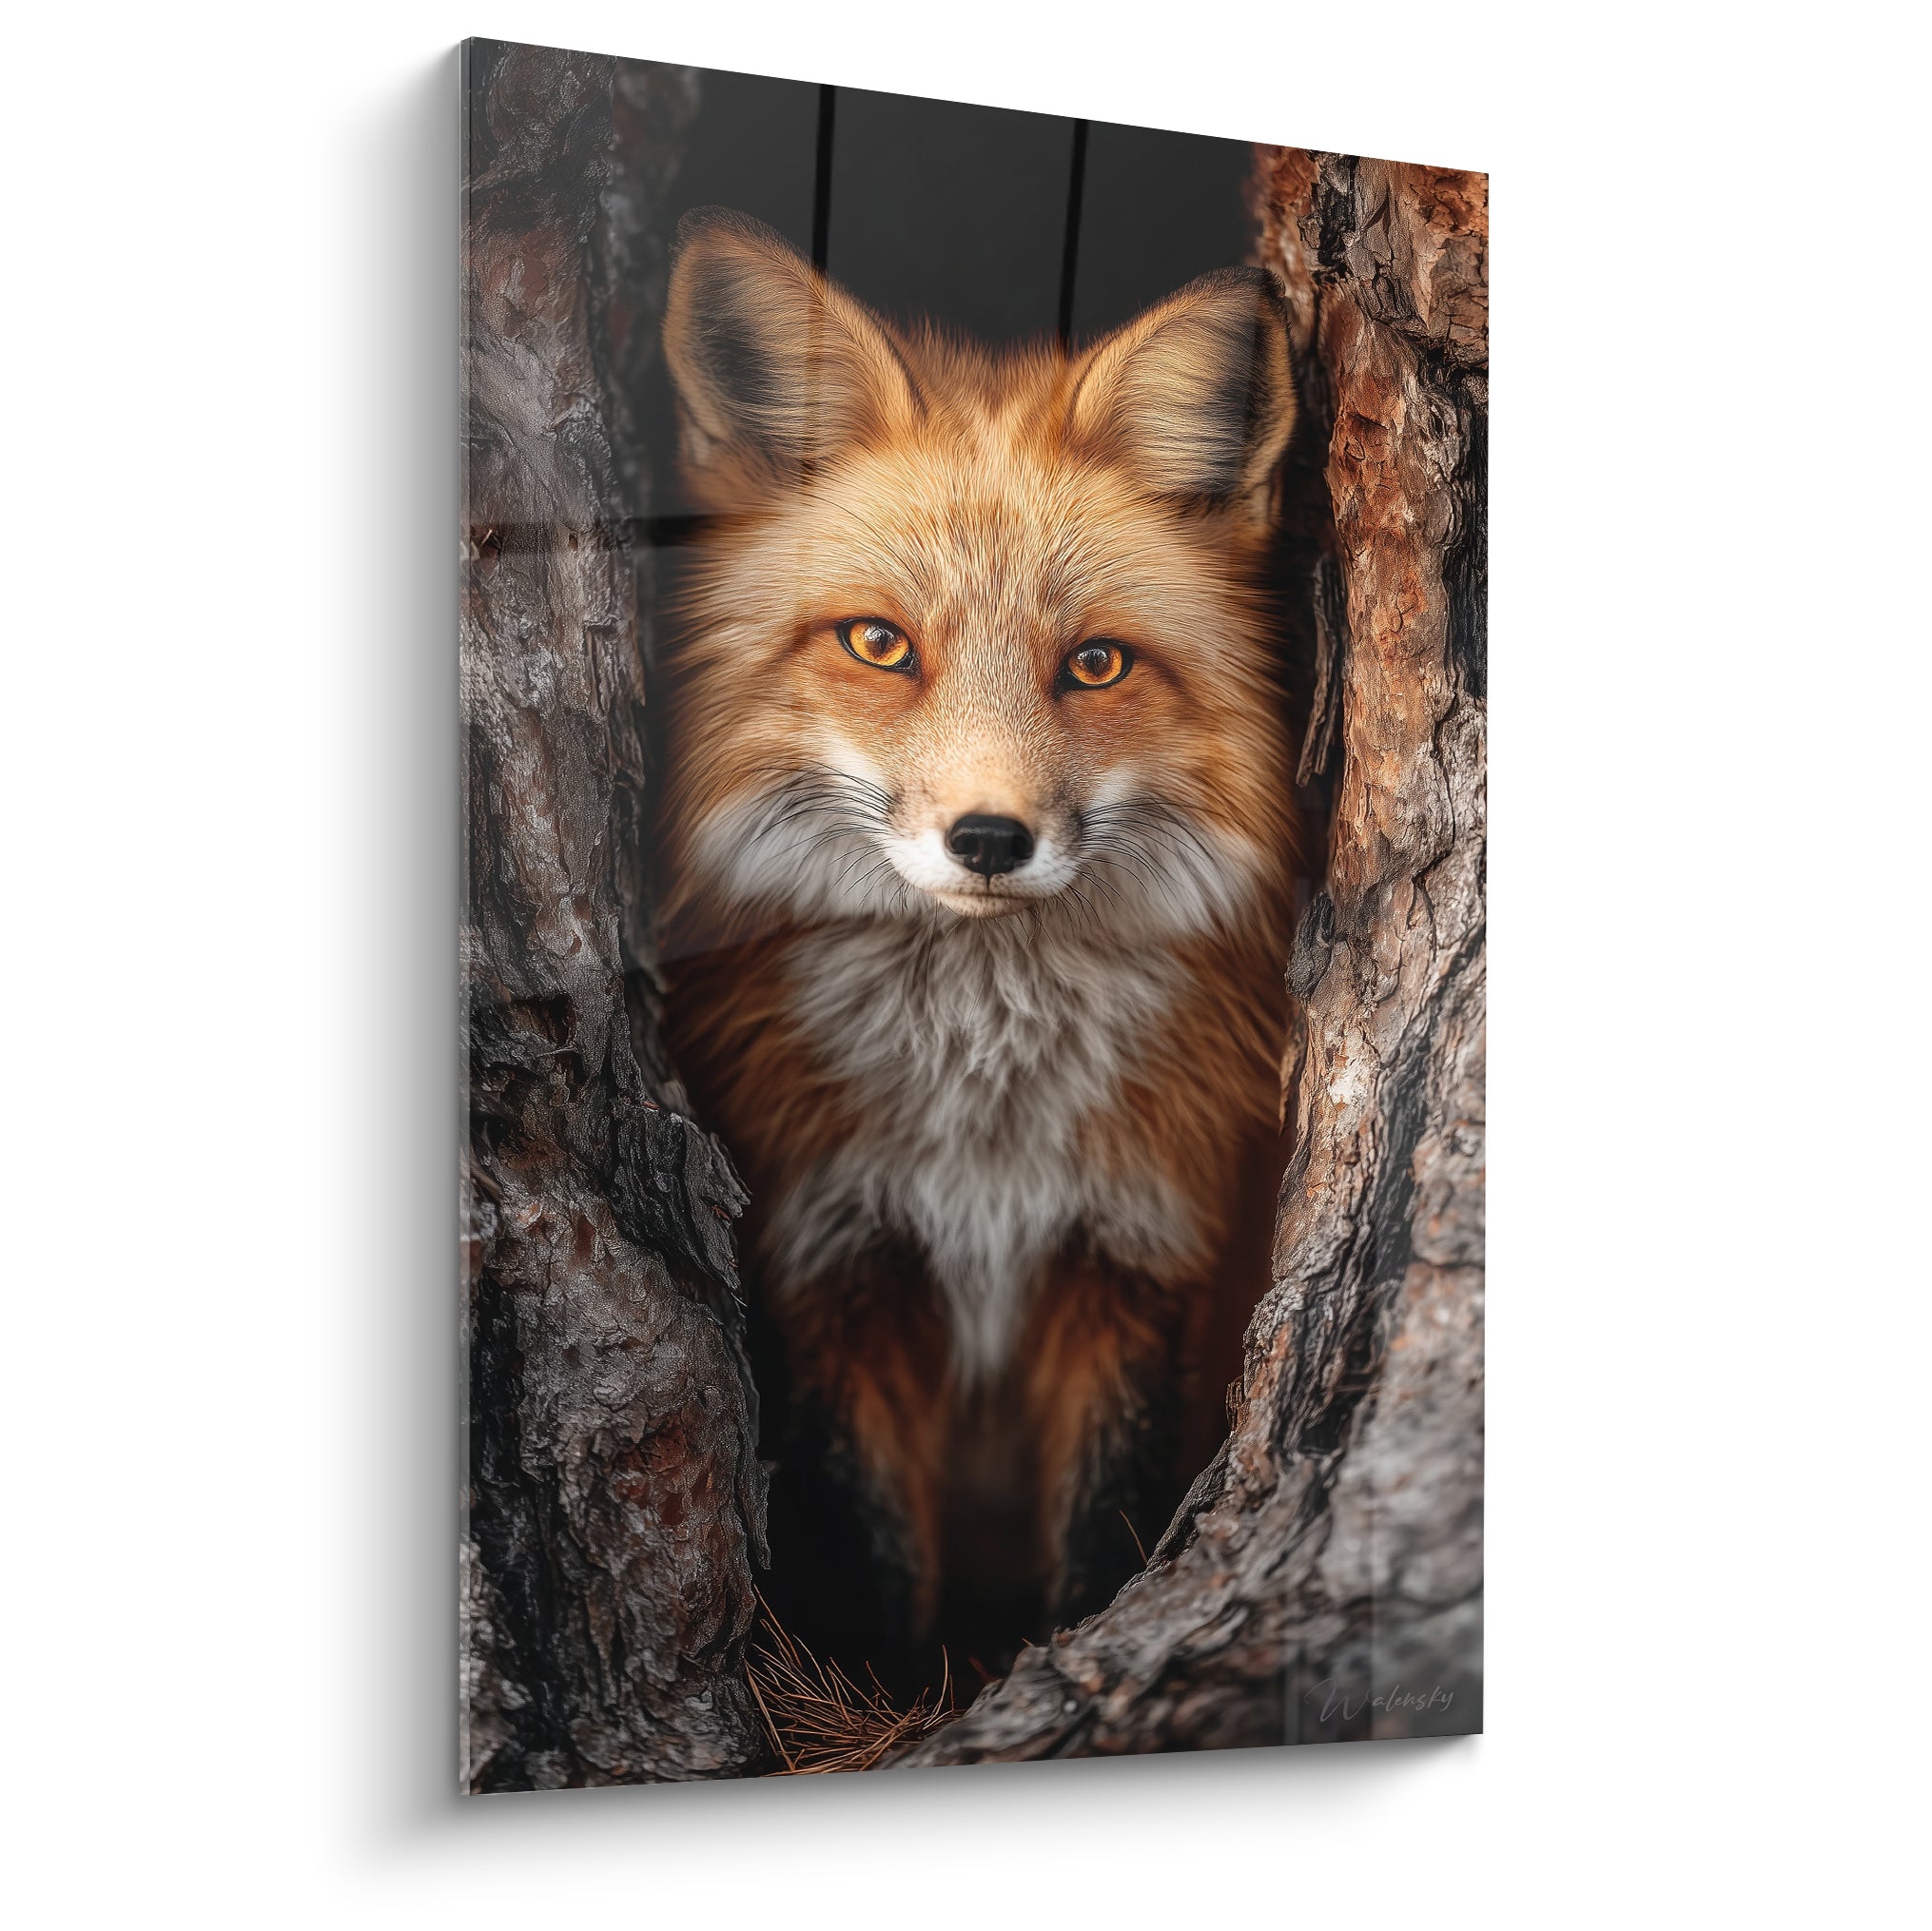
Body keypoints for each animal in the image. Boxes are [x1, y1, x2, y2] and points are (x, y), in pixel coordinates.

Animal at [655, 207, 1302, 1677]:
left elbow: (1106, 1522)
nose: (991, 839)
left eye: (1096, 664)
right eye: (879, 644)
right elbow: (872, 1537)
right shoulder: (828, 1258)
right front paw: (891, 1689)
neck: (983, 1111)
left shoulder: (1134, 1253)